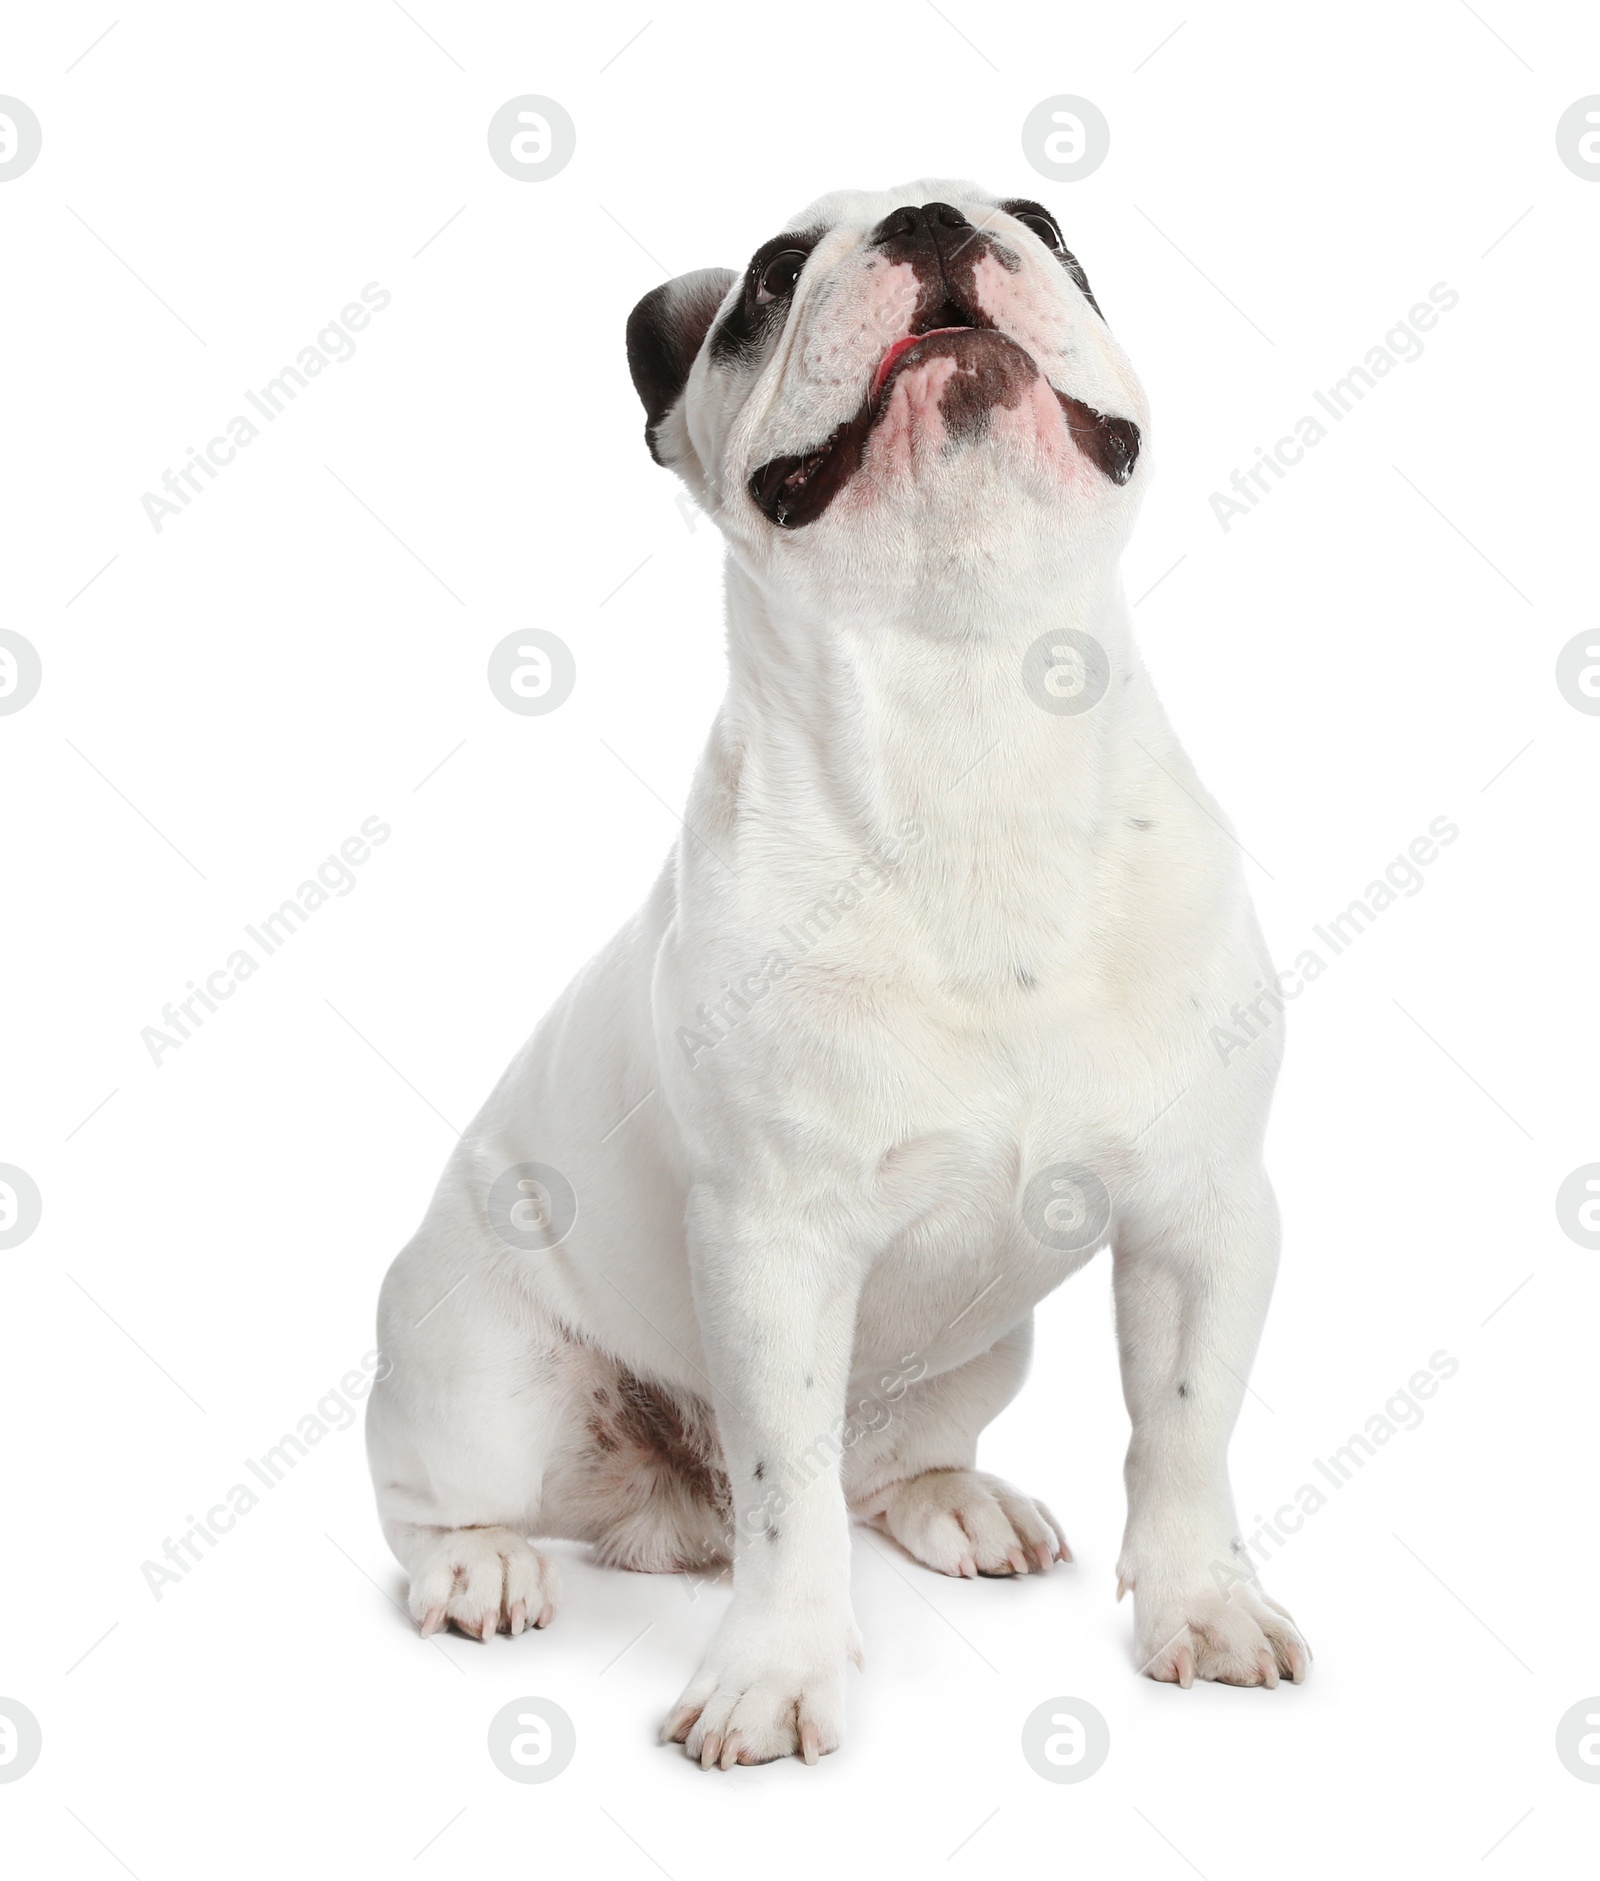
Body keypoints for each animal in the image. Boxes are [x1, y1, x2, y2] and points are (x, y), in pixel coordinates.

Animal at [366, 183, 1316, 1768]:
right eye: (770, 280)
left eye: (1048, 224)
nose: (935, 217)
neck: (969, 706)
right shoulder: (773, 1248)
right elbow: (785, 1492)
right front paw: (778, 1668)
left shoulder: (1204, 1215)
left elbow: (1184, 1432)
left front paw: (1205, 1601)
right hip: (477, 1373)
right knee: (436, 1498)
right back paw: (478, 1565)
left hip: (976, 1357)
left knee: (886, 1463)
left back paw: (956, 1502)